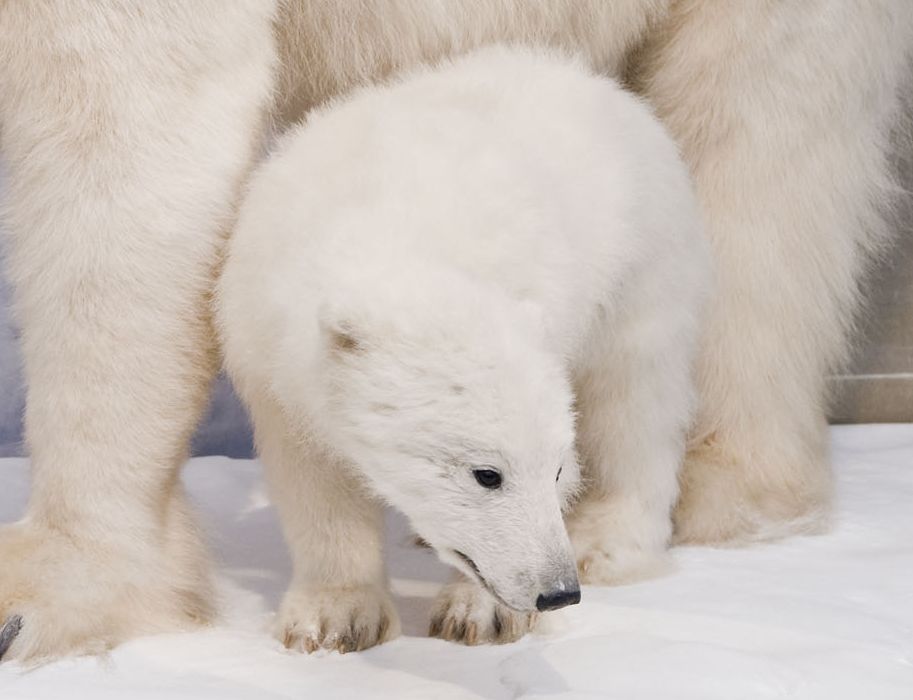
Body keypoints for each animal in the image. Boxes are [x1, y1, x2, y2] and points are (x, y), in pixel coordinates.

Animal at [0, 0, 908, 660]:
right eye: (481, 473)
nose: (555, 588)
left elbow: (118, 102)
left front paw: (42, 601)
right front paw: (336, 612)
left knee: (759, 154)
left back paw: (709, 496)